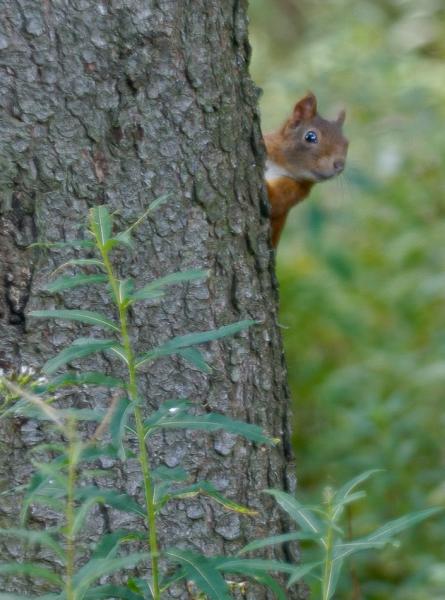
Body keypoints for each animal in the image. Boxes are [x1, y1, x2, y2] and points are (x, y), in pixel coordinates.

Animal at [264, 92, 348, 247]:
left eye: (346, 143)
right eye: (310, 136)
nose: (340, 165)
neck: (281, 164)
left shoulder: (295, 190)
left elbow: (273, 200)